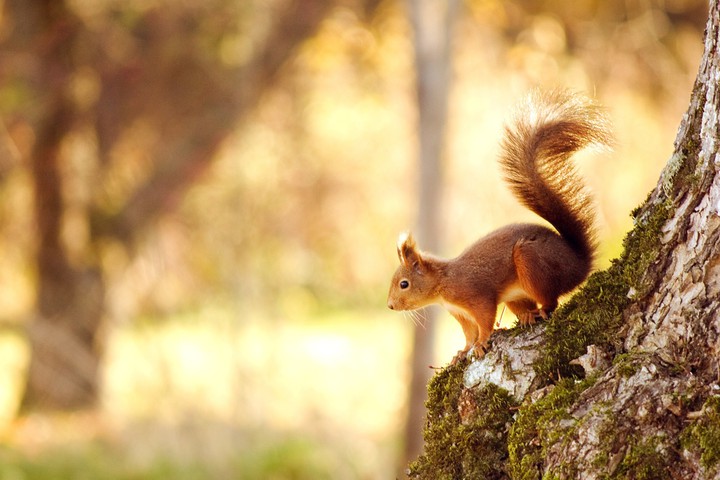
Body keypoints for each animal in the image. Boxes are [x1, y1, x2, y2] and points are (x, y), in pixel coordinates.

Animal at [386, 89, 612, 365]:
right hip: (517, 293)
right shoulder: (459, 313)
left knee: (551, 301)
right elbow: (468, 333)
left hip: (531, 262)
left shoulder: (475, 296)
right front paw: (462, 351)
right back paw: (526, 315)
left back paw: (539, 312)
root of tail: (579, 264)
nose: (390, 306)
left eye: (404, 284)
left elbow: (484, 320)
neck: (443, 283)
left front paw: (482, 343)